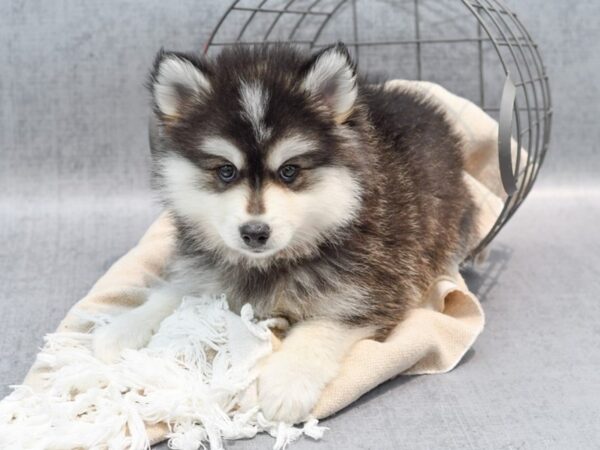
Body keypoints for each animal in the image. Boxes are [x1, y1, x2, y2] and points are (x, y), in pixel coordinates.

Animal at [94, 41, 478, 422]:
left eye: (290, 170)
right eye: (226, 171)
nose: (254, 232)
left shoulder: (371, 292)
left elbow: (320, 328)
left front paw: (287, 382)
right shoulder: (203, 269)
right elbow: (171, 292)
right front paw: (119, 329)